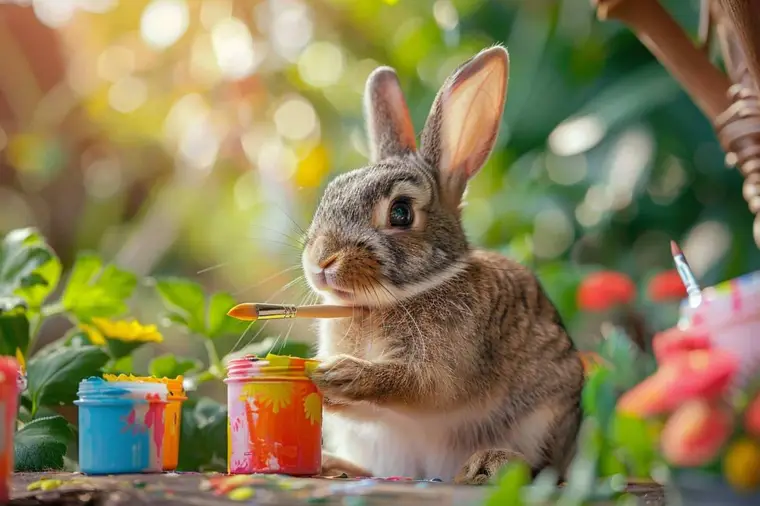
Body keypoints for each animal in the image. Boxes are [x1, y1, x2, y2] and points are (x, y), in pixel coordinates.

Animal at [302, 45, 585, 485]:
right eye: (331, 192)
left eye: (401, 213)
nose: (320, 260)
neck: (382, 303)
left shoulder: (446, 369)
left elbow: (418, 386)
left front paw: (343, 374)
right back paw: (336, 465)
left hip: (545, 419)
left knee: (543, 472)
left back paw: (489, 463)